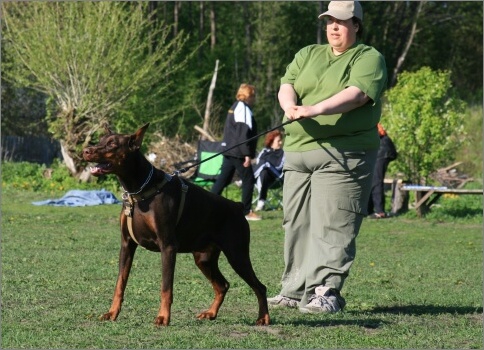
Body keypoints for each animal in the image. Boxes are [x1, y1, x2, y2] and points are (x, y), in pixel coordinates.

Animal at [84, 123, 272, 326]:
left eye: (112, 144)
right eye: (101, 140)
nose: (86, 150)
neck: (139, 191)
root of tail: (237, 206)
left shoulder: (167, 246)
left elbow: (166, 287)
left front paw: (163, 317)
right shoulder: (127, 244)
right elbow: (120, 283)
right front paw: (112, 313)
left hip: (237, 254)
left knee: (260, 286)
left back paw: (263, 318)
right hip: (203, 258)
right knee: (223, 285)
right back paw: (210, 313)